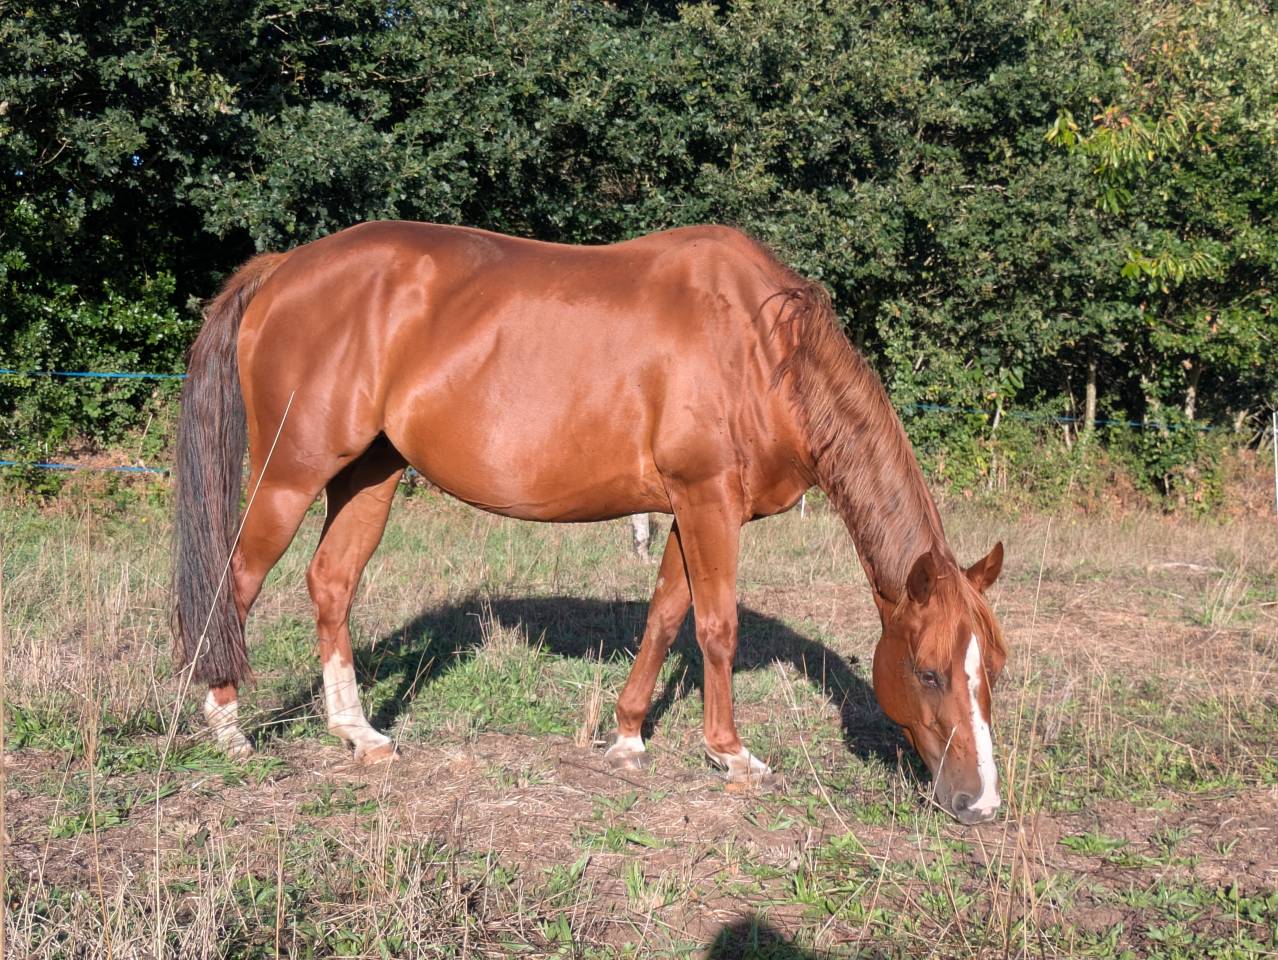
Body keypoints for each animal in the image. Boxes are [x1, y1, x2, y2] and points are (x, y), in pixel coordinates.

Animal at [172, 221, 1007, 825]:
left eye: (990, 672)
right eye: (927, 671)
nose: (981, 803)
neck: (761, 348)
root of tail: (285, 267)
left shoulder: (689, 509)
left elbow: (666, 616)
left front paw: (629, 735)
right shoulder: (708, 503)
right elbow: (718, 626)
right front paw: (731, 754)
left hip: (368, 475)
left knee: (332, 583)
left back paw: (358, 733)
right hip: (290, 475)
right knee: (235, 585)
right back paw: (228, 726)